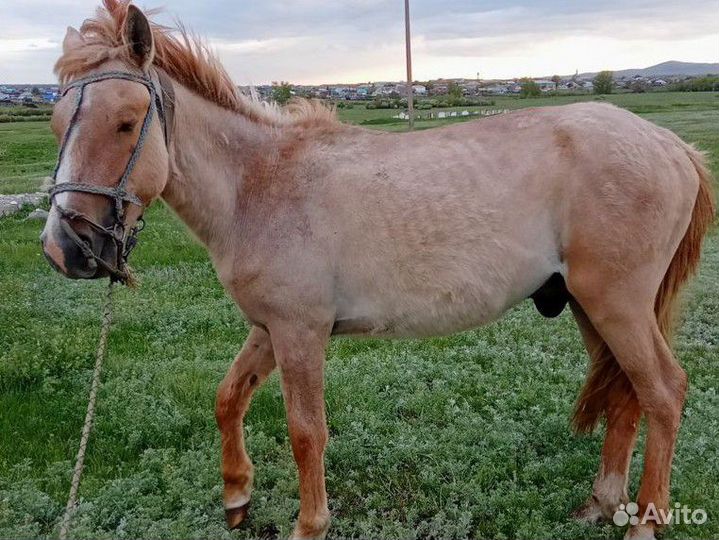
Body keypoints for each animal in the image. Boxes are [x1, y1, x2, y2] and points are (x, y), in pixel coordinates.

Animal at [41, 2, 715, 539]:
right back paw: (603, 503)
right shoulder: (270, 328)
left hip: (617, 305)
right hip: (589, 306)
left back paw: (644, 523)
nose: (64, 248)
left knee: (663, 392)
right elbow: (228, 398)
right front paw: (237, 495)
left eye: (127, 122)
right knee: (627, 393)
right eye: (57, 122)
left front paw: (309, 525)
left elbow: (306, 431)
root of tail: (671, 146)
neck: (260, 185)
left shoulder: (301, 334)